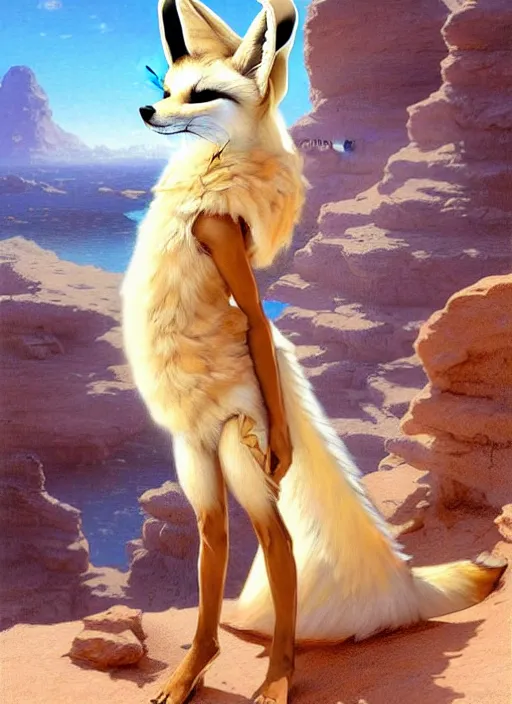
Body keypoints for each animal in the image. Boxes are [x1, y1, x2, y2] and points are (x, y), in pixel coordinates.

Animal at [120, 1, 508, 703]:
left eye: (203, 94)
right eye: (166, 87)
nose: (145, 111)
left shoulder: (222, 233)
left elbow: (253, 315)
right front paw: (188, 673)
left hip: (242, 441)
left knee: (280, 545)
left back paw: (280, 677)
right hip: (198, 454)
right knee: (217, 535)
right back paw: (200, 662)